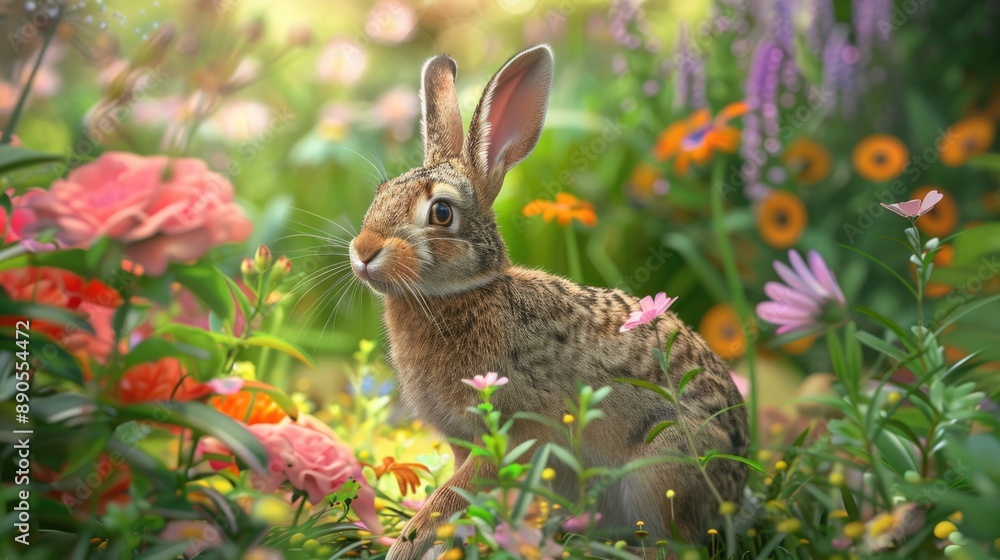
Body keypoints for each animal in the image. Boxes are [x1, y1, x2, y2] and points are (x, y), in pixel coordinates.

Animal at [348, 45, 749, 560]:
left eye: (440, 212)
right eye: (380, 193)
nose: (363, 251)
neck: (465, 292)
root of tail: (736, 486)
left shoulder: (516, 433)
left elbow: (447, 499)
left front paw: (406, 546)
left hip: (661, 470)